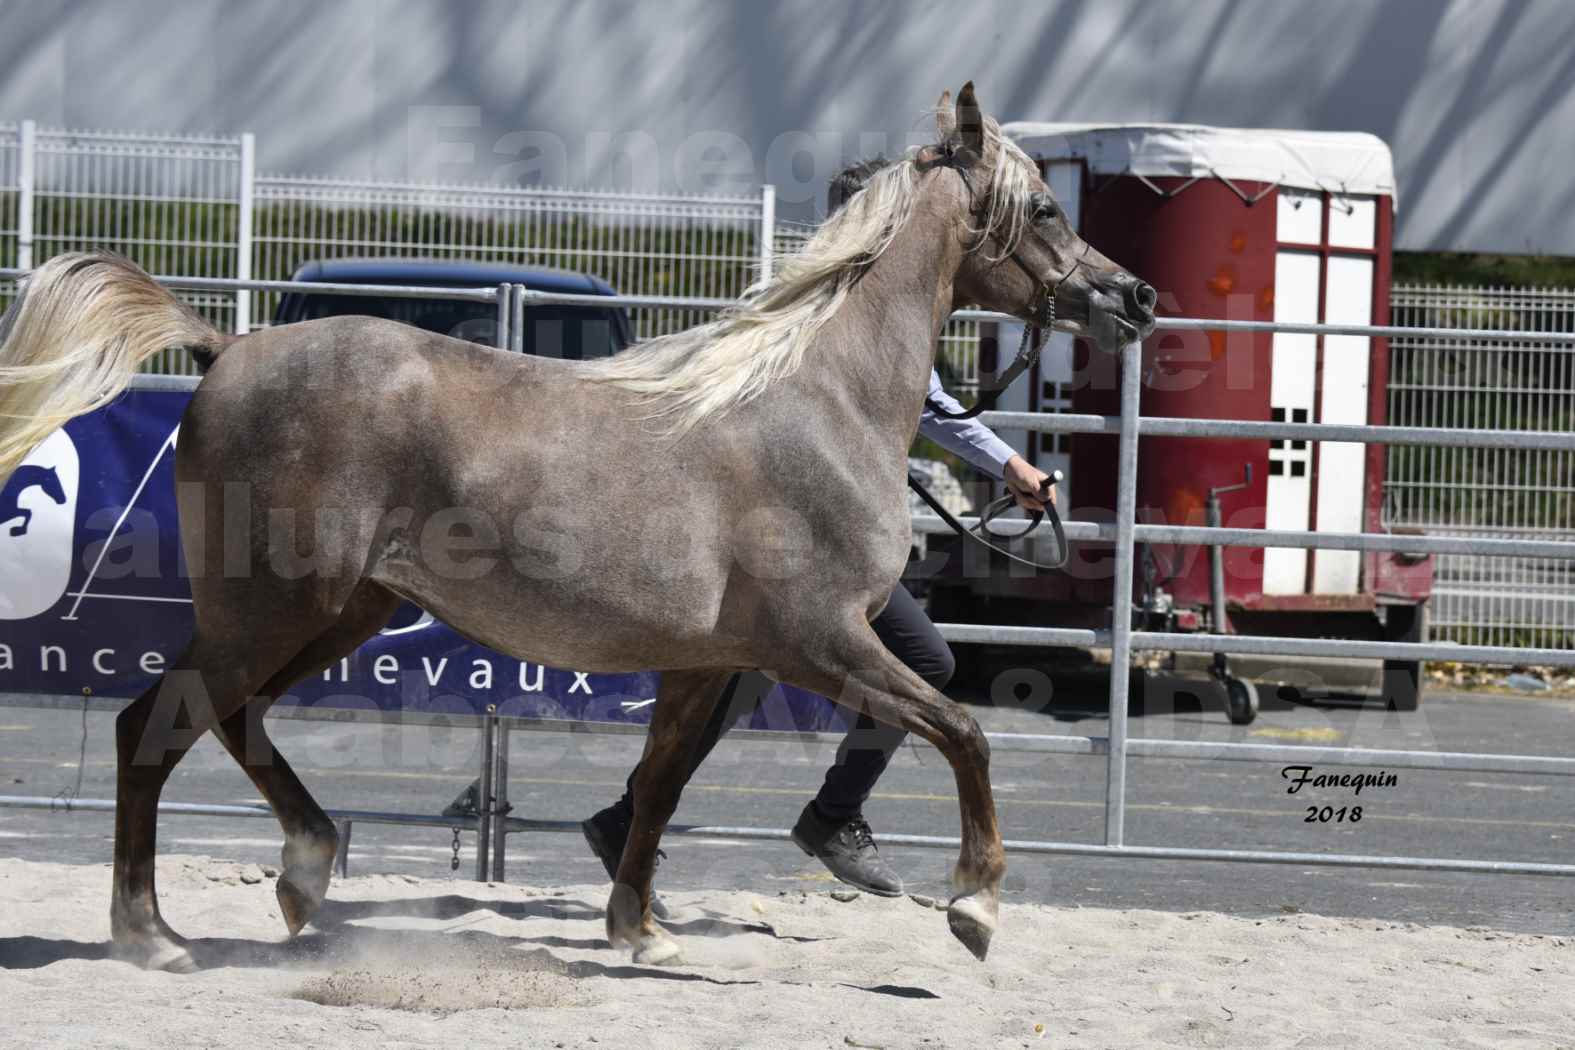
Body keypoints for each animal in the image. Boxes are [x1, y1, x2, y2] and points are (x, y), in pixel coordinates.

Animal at [0, 86, 1159, 976]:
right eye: (1046, 204)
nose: (1135, 296)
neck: (812, 403)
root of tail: (225, 349)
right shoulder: (823, 643)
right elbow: (962, 730)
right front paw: (975, 906)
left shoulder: (712, 662)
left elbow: (657, 788)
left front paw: (638, 929)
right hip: (274, 609)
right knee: (151, 727)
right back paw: (152, 933)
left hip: (335, 614)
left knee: (230, 722)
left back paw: (307, 872)